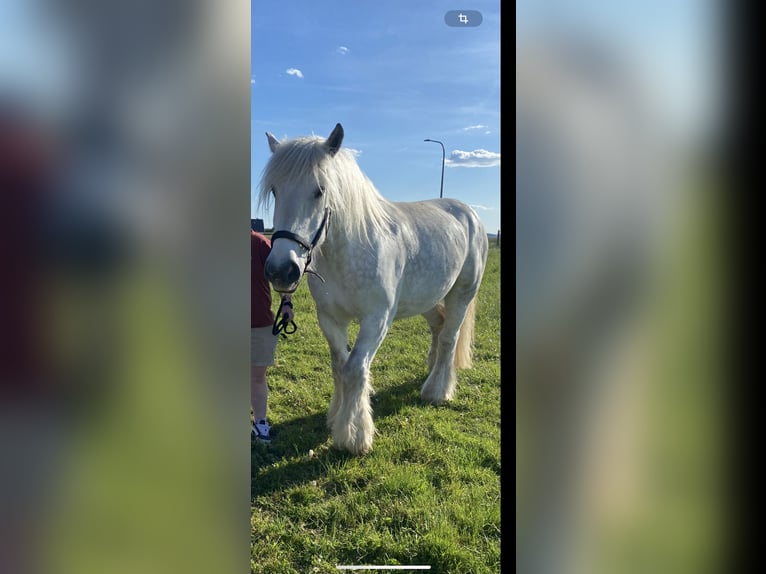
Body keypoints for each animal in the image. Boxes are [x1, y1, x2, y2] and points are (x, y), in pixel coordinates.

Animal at [258, 123, 489, 455]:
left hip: (462, 293)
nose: (281, 270)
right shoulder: (329, 319)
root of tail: (468, 213)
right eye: (275, 190)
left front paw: (353, 437)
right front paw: (336, 418)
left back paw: (437, 390)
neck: (351, 249)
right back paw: (431, 369)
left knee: (449, 337)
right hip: (427, 298)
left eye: (320, 190)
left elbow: (355, 370)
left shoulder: (377, 320)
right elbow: (339, 366)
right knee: (439, 327)